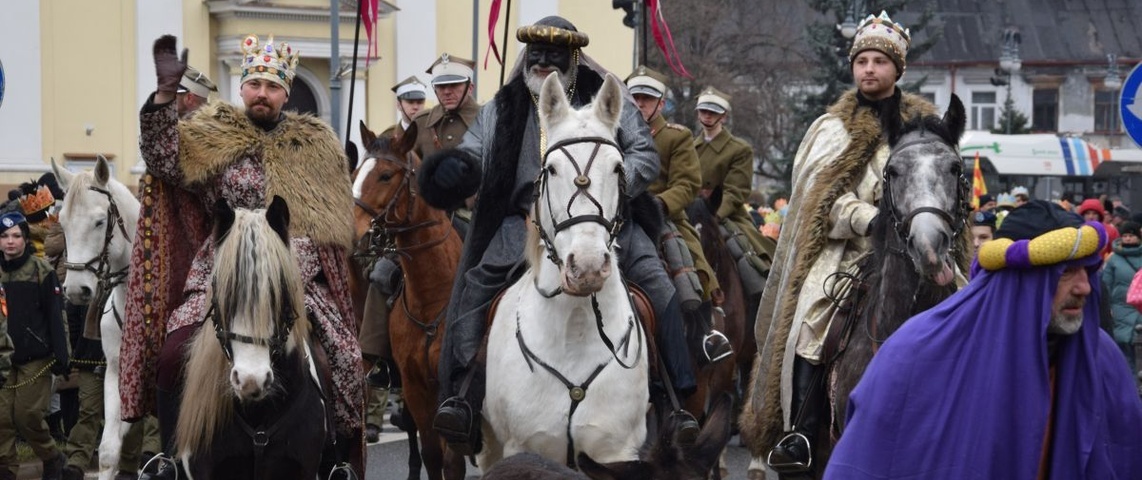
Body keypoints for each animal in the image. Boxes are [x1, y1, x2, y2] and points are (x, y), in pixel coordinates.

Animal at [354, 121, 465, 480]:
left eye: (386, 175)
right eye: (357, 172)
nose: (352, 230)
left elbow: (453, 461)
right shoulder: (416, 387)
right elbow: (432, 454)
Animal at [477, 73, 648, 470]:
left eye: (617, 168)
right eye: (551, 169)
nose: (587, 266)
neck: (575, 327)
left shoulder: (615, 451)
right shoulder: (524, 448)